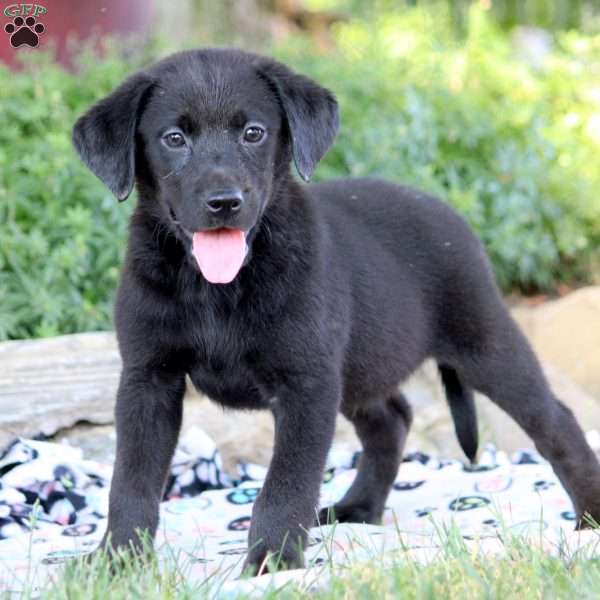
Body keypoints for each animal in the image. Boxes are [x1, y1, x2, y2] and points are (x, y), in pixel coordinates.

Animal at [71, 49, 600, 576]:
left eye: (253, 133)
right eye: (174, 139)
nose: (224, 203)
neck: (215, 288)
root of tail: (450, 214)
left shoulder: (307, 383)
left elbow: (286, 483)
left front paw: (273, 560)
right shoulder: (148, 379)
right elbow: (132, 479)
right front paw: (119, 558)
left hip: (483, 342)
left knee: (555, 419)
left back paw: (589, 518)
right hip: (361, 366)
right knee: (392, 420)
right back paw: (358, 510)